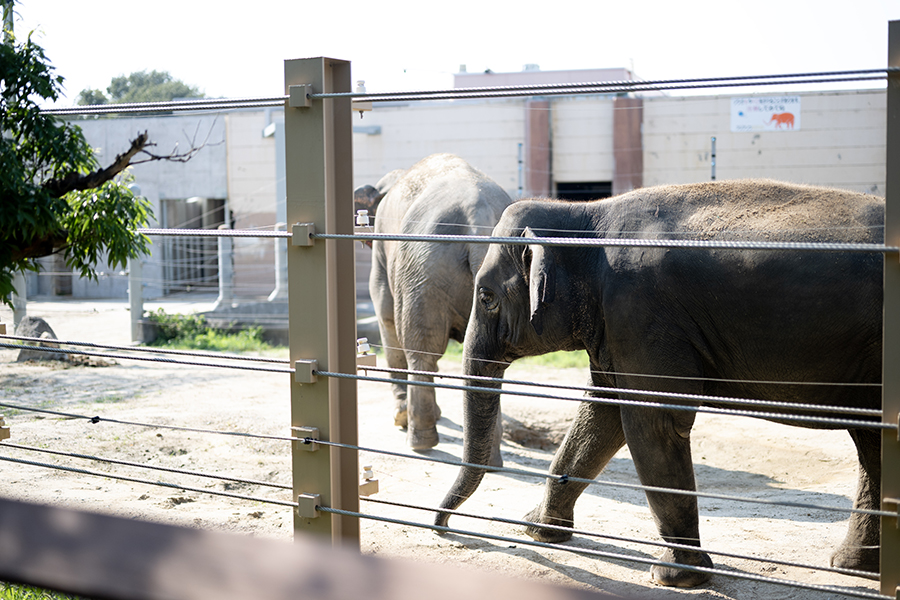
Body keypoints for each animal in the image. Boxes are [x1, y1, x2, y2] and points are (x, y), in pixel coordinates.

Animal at [356, 154, 512, 454]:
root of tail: (479, 217)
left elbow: (386, 317)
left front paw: (400, 417)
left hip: (421, 269)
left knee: (420, 350)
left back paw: (419, 442)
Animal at [436, 179, 884, 584]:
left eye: (486, 297)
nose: (445, 529)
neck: (584, 213)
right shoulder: (615, 325)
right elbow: (601, 413)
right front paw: (537, 529)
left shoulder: (639, 311)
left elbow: (652, 421)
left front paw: (674, 576)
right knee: (873, 442)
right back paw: (852, 567)